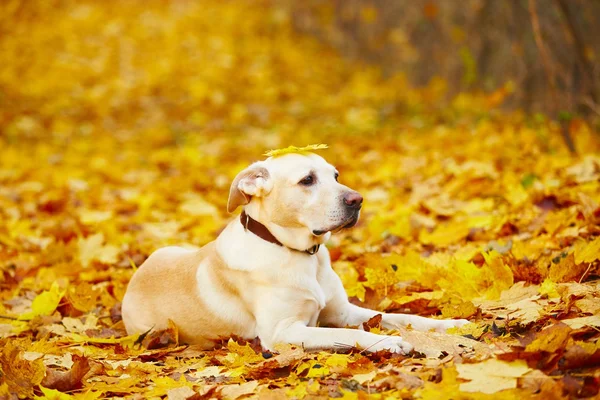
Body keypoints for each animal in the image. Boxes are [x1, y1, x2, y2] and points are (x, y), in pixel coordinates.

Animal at [122, 151, 468, 354]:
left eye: (336, 176)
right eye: (307, 180)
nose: (357, 200)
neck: (298, 253)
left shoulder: (343, 312)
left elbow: (404, 317)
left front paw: (452, 324)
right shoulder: (282, 331)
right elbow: (341, 336)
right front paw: (387, 341)